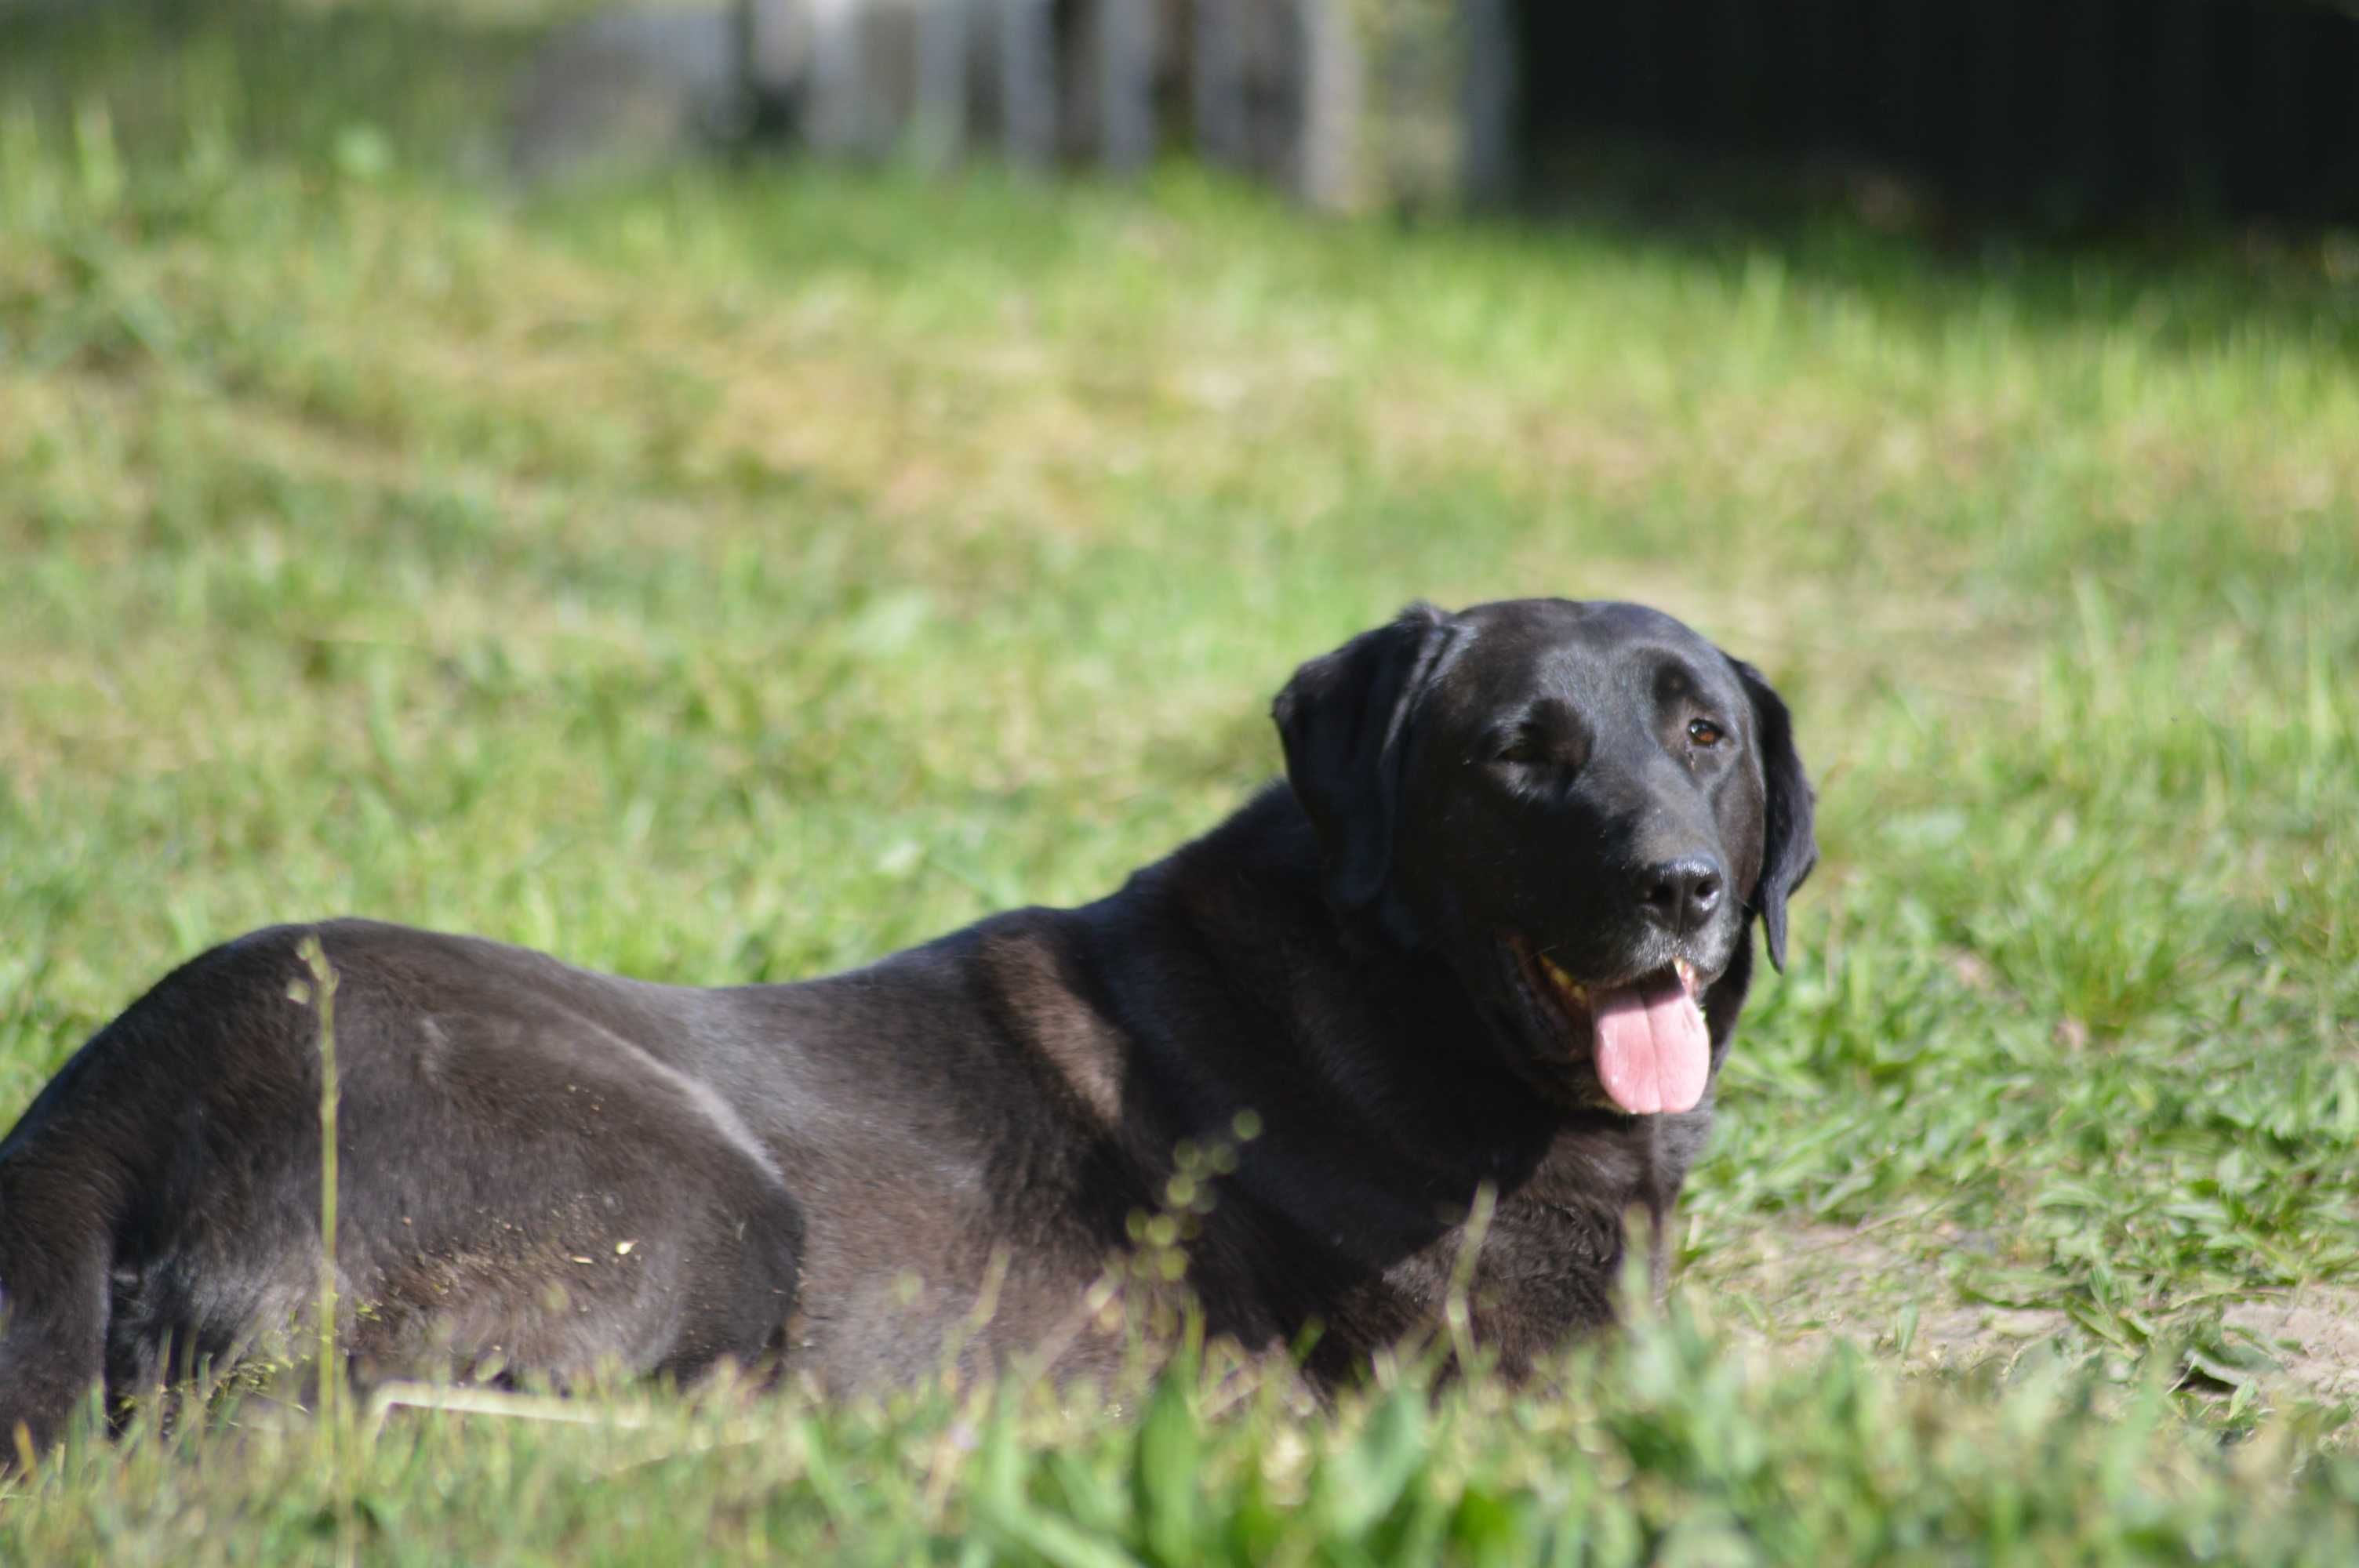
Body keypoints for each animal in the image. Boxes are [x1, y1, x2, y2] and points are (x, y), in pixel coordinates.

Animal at [0, 596, 1812, 1443]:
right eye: (1518, 752)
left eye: (1705, 736)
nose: (1674, 888)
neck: (1398, 993)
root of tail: (112, 1090)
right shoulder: (1512, 1376)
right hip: (697, 1195)